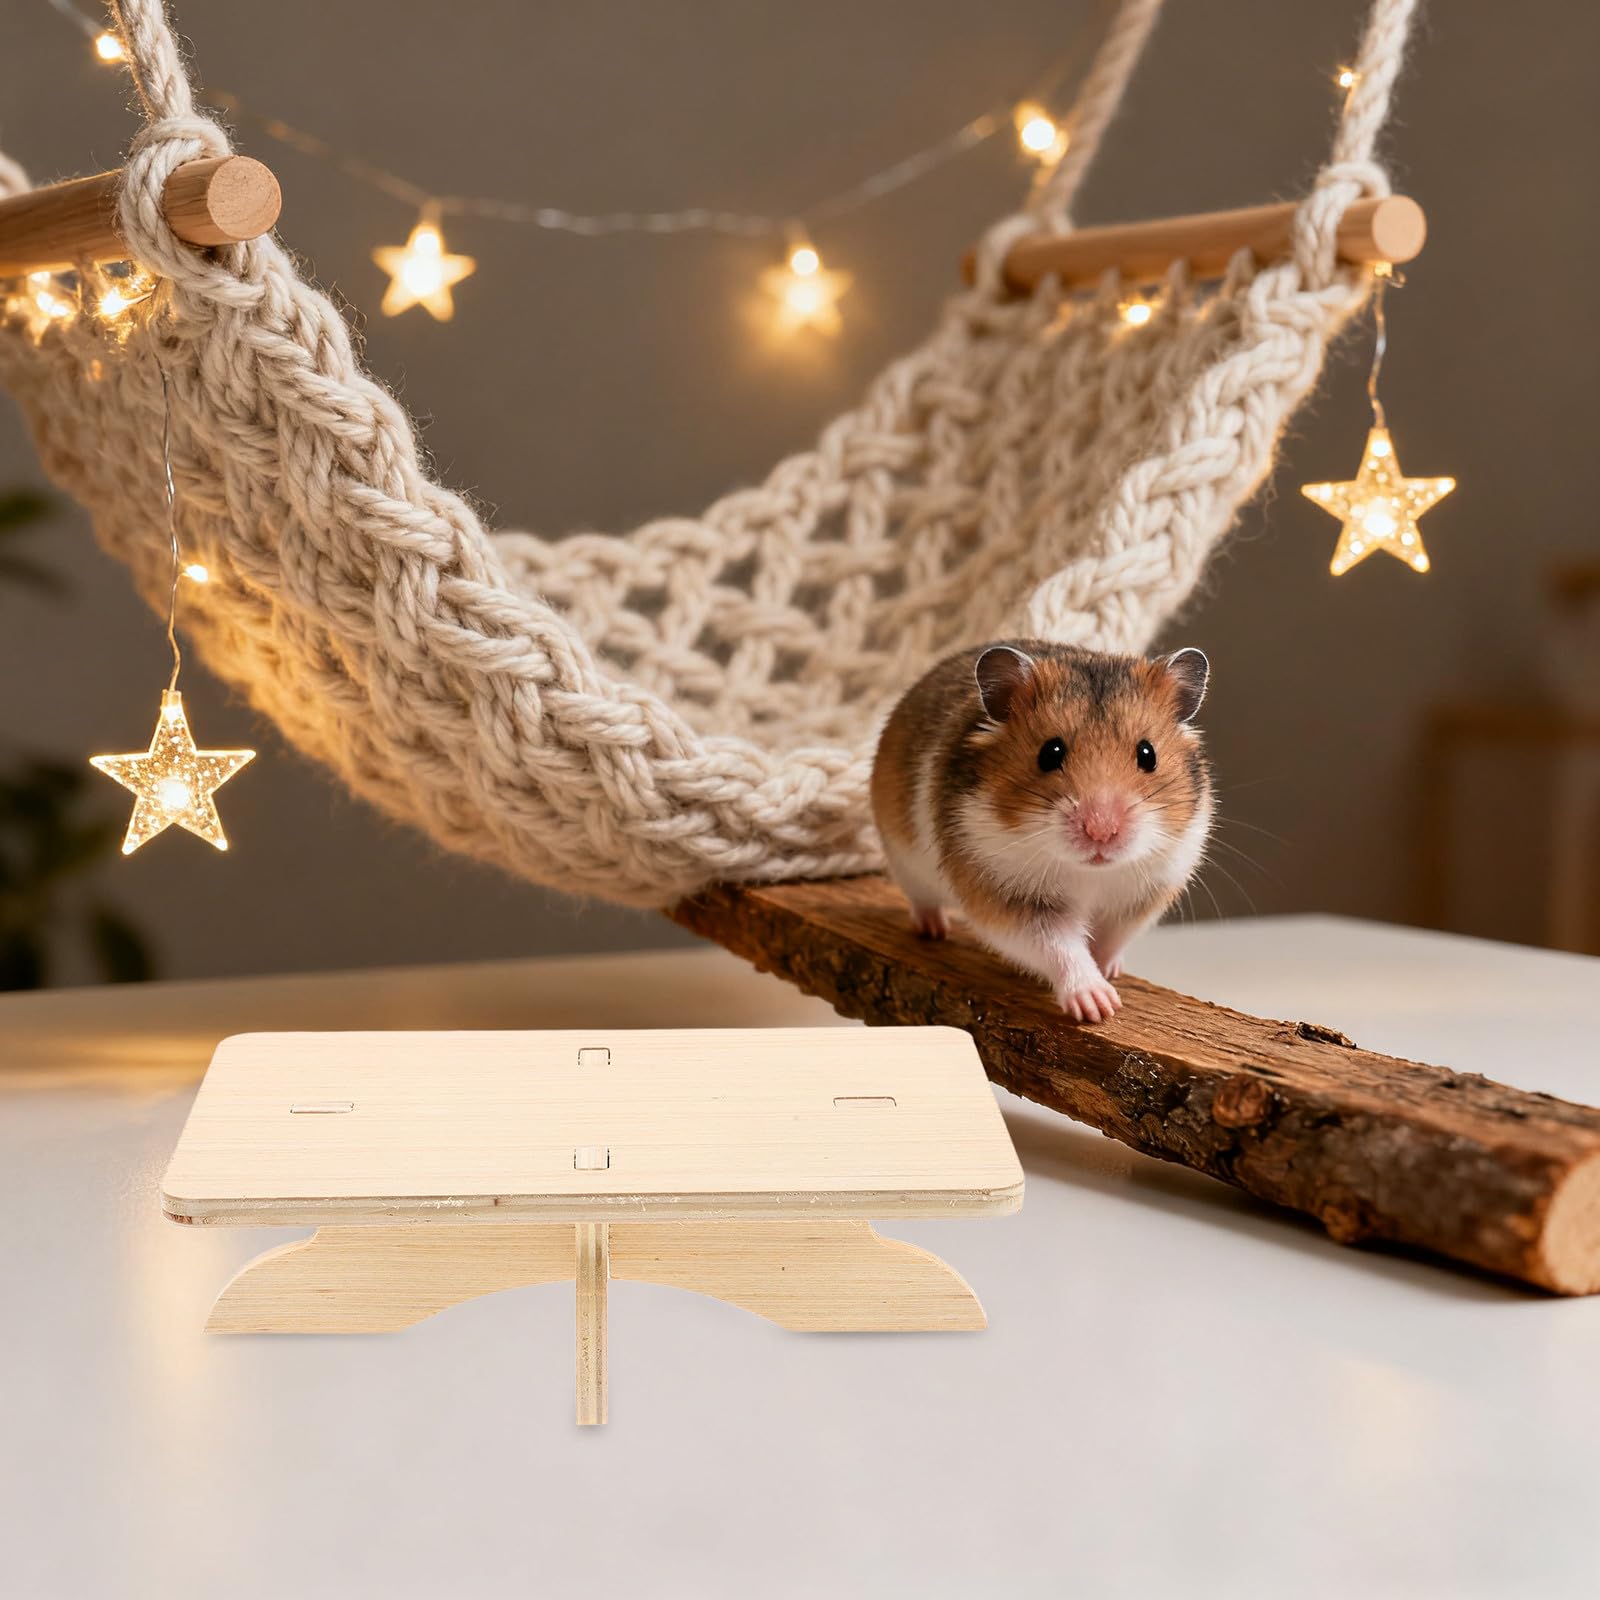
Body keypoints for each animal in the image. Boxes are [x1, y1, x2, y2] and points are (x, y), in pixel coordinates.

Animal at [870, 640, 1213, 1022]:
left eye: (1147, 754)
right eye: (1050, 752)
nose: (1101, 832)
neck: (1091, 874)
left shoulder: (1141, 898)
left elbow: (1109, 941)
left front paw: (1110, 973)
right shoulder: (1010, 899)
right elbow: (1060, 947)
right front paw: (1098, 1007)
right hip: (905, 862)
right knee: (922, 901)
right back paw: (933, 930)